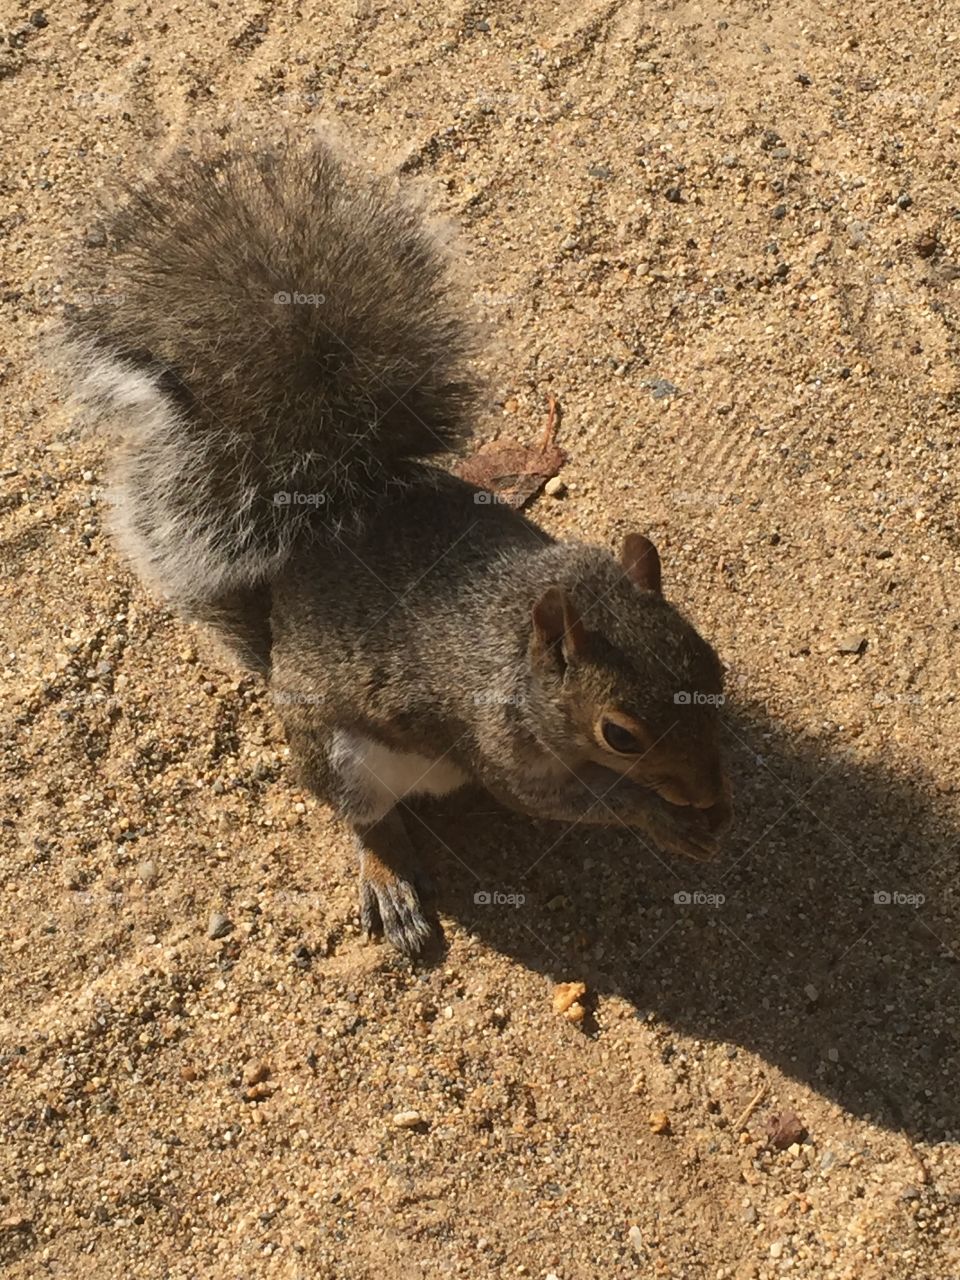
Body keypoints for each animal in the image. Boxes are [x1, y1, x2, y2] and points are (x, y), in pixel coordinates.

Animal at [57, 136, 732, 958]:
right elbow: (558, 800)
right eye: (620, 735)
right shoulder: (495, 739)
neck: (519, 638)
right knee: (365, 817)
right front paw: (661, 816)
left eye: (714, 668)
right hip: (342, 756)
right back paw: (388, 879)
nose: (708, 790)